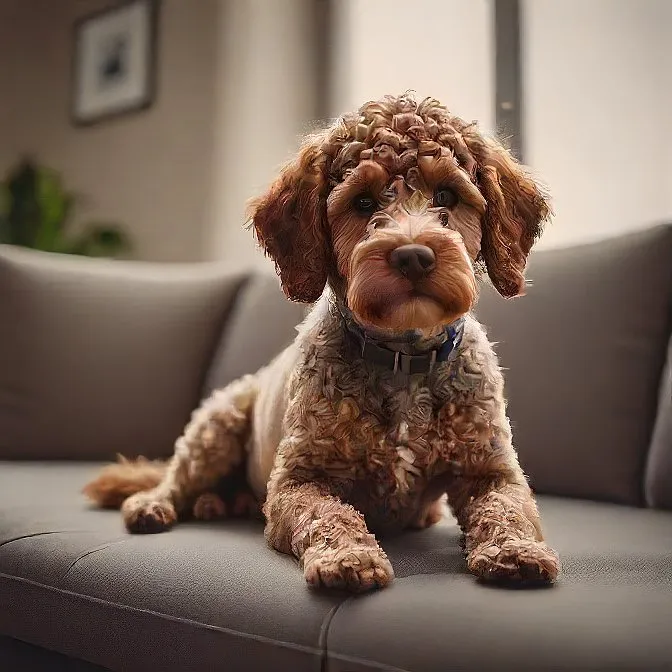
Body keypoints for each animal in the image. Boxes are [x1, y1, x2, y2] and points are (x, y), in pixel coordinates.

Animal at [81, 93, 560, 592]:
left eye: (447, 195)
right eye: (362, 201)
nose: (413, 256)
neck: (402, 360)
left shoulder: (492, 470)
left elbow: (507, 509)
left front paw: (514, 549)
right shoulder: (297, 480)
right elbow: (330, 514)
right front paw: (349, 557)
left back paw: (219, 503)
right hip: (216, 424)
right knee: (175, 479)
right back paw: (156, 504)